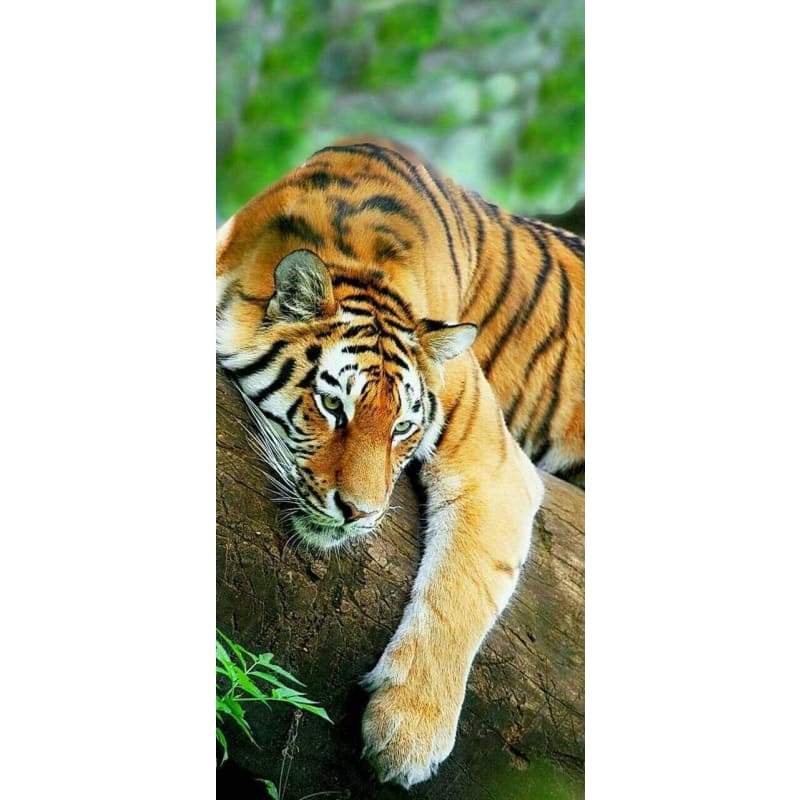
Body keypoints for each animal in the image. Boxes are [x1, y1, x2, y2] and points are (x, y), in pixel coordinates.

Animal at [216, 138, 584, 788]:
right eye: (332, 406)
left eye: (403, 428)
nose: (357, 513)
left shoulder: (494, 465)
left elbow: (462, 587)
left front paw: (407, 734)